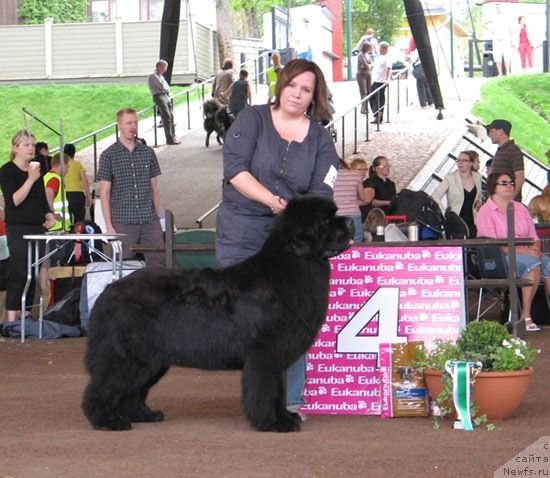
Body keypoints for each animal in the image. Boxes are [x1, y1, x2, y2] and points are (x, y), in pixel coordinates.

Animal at [83, 197, 354, 434]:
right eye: (325, 221)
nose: (351, 222)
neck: (291, 266)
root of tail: (109, 289)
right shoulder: (264, 354)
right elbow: (265, 391)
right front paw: (272, 423)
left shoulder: (278, 356)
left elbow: (278, 392)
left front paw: (286, 417)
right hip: (129, 355)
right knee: (101, 388)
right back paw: (107, 421)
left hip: (152, 359)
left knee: (132, 391)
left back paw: (143, 414)